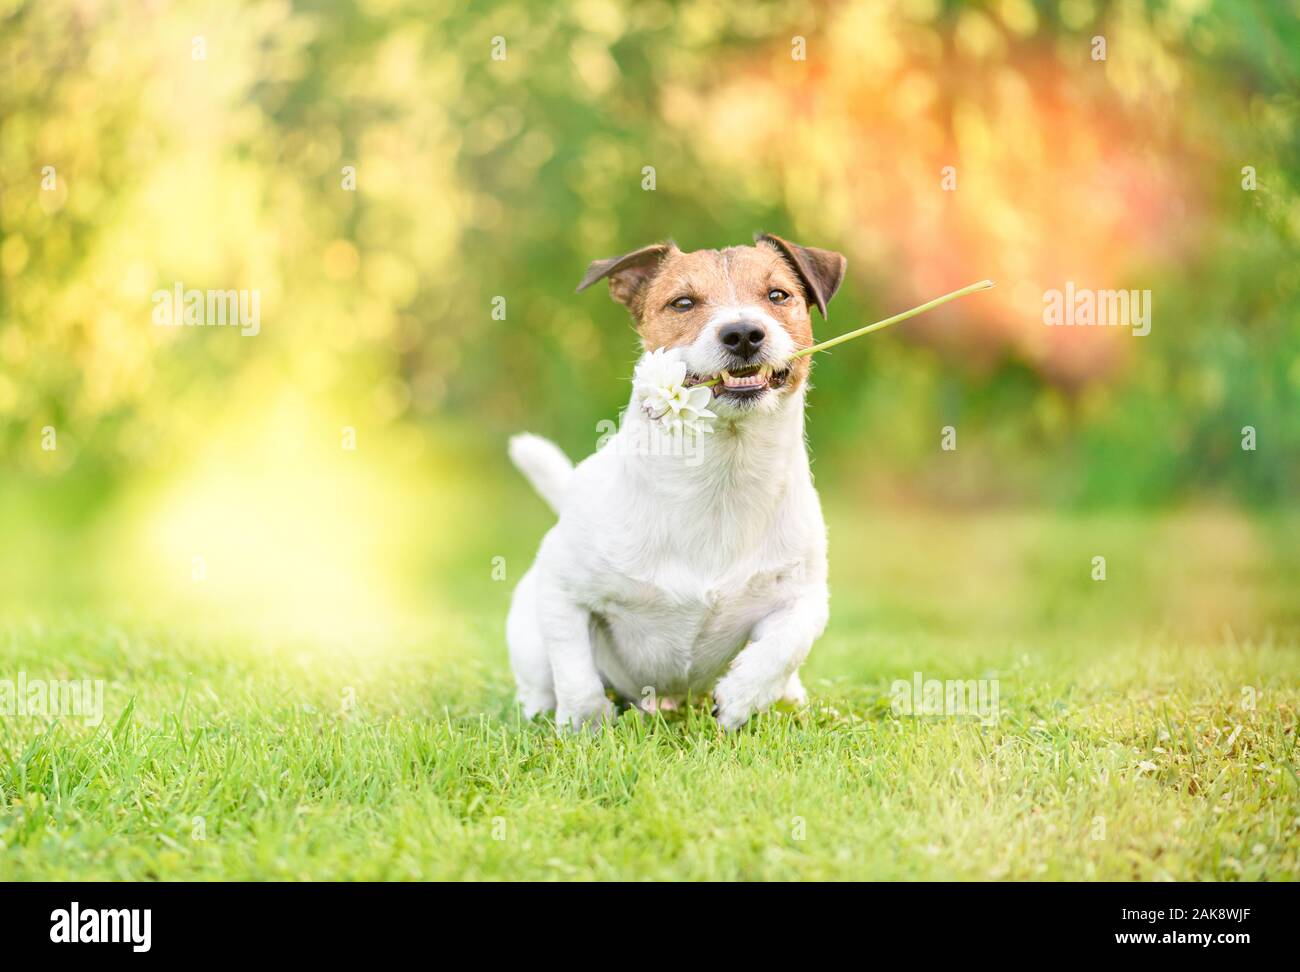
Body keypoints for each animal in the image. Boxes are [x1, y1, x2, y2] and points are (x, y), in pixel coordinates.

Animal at [501, 231, 847, 727]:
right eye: (682, 303)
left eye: (779, 295)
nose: (743, 333)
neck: (723, 475)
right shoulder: (562, 590)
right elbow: (575, 671)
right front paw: (587, 725)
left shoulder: (805, 596)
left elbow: (785, 645)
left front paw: (741, 695)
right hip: (530, 643)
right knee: (543, 684)